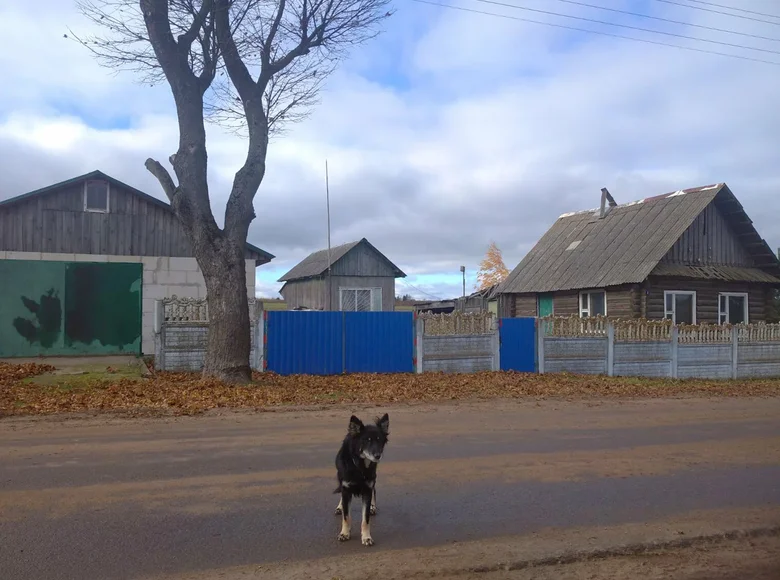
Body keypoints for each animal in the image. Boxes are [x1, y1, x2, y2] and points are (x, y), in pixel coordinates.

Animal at [332, 414, 390, 548]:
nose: (377, 455)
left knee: (374, 490)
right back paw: (340, 507)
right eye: (367, 440)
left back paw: (373, 507)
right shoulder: (346, 488)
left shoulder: (367, 490)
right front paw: (344, 533)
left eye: (379, 440)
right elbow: (346, 516)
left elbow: (365, 519)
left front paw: (366, 537)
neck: (359, 466)